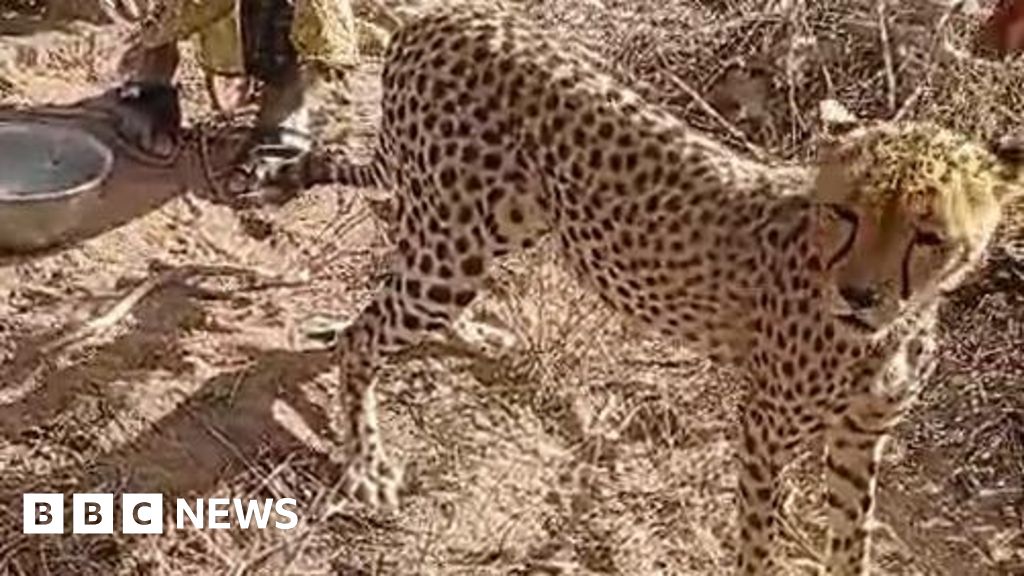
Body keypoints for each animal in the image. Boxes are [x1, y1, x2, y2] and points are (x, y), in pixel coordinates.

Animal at [257, 3, 1024, 574]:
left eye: (928, 235)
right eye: (846, 214)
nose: (860, 295)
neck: (893, 326)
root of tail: (437, 18)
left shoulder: (861, 437)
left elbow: (849, 538)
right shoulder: (764, 427)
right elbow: (760, 536)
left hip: (486, 228)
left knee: (397, 276)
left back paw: (470, 336)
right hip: (458, 242)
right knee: (362, 333)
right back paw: (367, 461)